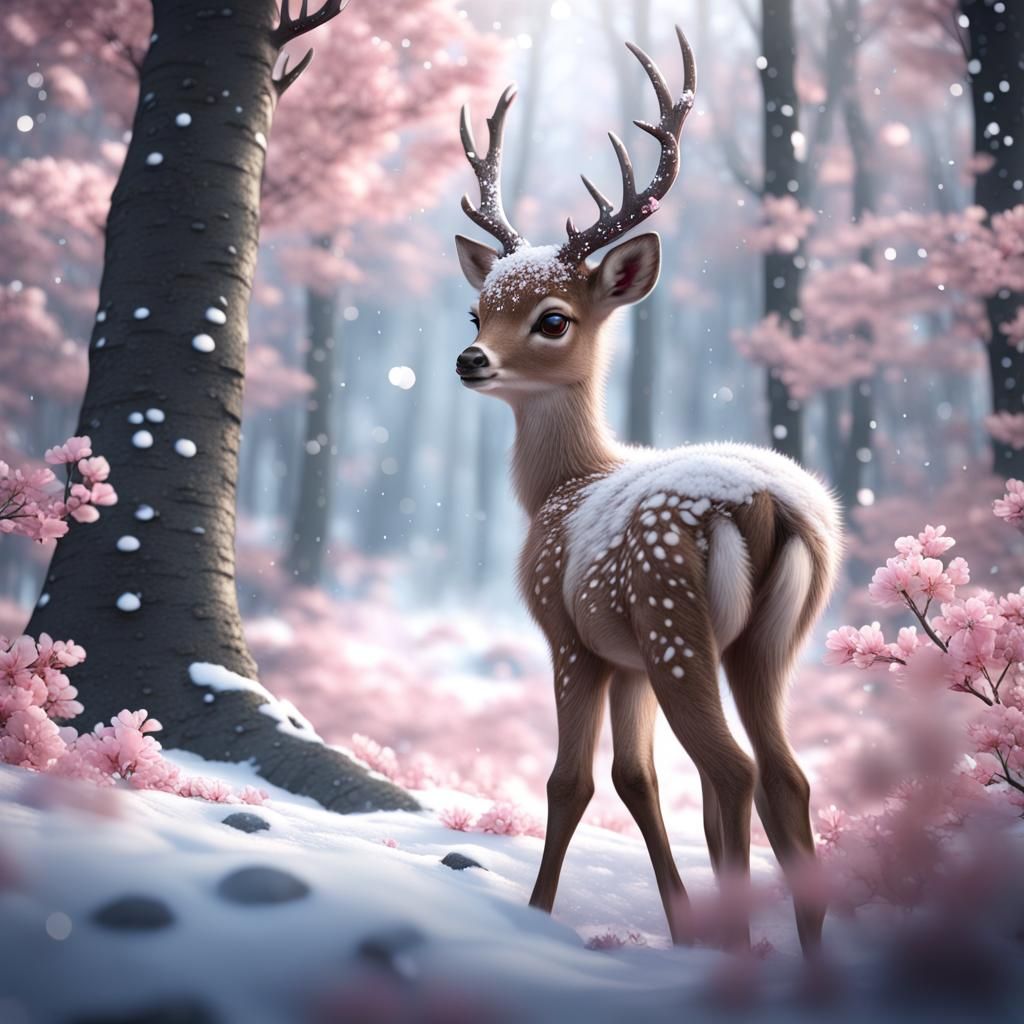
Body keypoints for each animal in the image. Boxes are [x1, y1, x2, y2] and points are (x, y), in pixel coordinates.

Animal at [452, 26, 842, 955]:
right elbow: (638, 779)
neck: (565, 484)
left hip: (672, 617)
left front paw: (537, 916)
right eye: (478, 311)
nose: (469, 359)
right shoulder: (622, 658)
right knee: (786, 775)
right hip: (767, 640)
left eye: (553, 318)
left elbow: (572, 783)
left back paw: (737, 956)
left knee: (732, 771)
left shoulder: (570, 636)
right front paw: (679, 925)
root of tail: (758, 502)